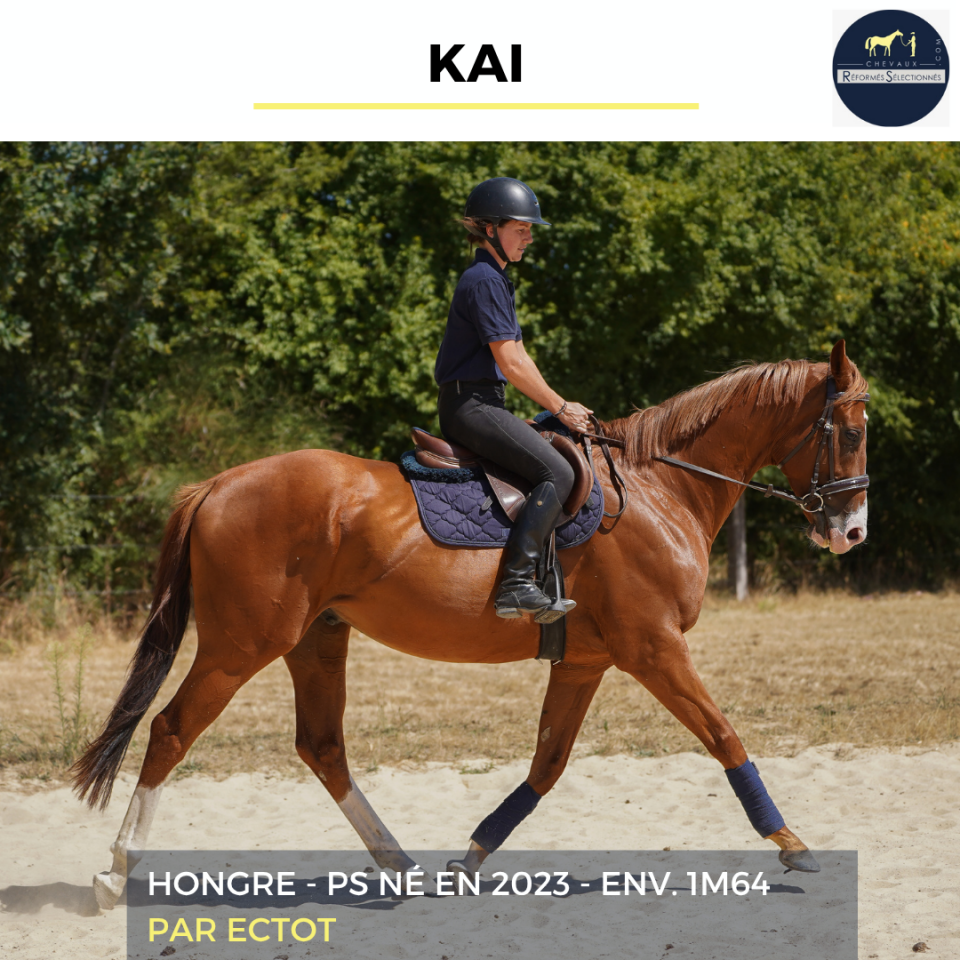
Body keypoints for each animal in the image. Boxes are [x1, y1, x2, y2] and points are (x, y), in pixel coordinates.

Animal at [72, 340, 870, 911]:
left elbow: (547, 765)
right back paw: (116, 872)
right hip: (242, 646)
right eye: (851, 431)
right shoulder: (653, 648)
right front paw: (791, 840)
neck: (656, 489)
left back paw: (399, 864)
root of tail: (216, 485)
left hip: (316, 639)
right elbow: (724, 735)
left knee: (322, 747)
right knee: (172, 731)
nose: (852, 532)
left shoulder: (585, 662)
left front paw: (471, 857)